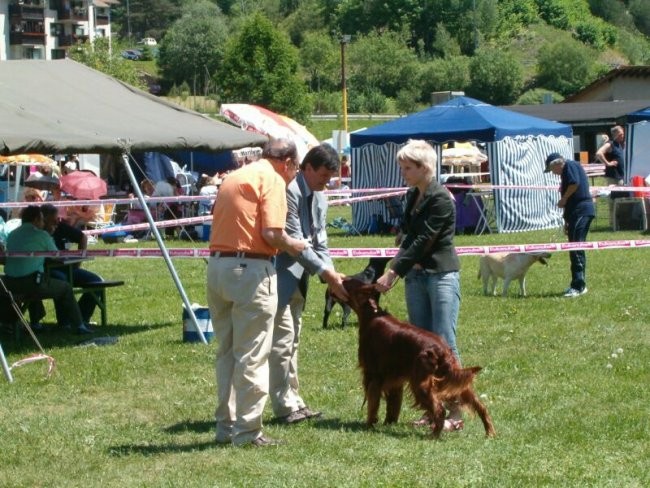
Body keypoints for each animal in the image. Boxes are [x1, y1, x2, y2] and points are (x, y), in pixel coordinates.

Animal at [342, 278, 494, 438]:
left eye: (348, 282)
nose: (342, 279)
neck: (370, 314)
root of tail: (443, 350)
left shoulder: (373, 375)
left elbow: (372, 404)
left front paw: (369, 425)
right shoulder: (394, 378)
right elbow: (393, 405)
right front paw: (388, 423)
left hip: (420, 383)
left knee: (440, 410)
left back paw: (434, 435)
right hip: (456, 381)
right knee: (481, 406)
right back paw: (490, 432)